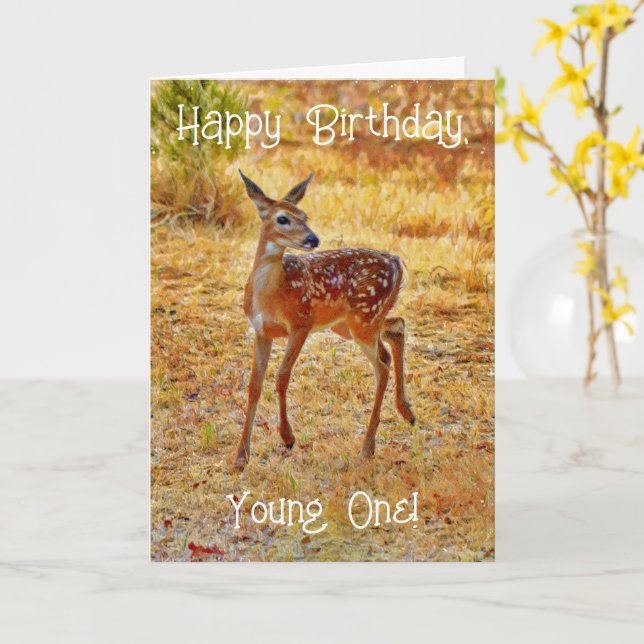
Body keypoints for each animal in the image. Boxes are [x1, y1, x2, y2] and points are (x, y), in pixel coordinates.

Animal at [234, 170, 415, 468]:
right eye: (283, 218)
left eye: (305, 215)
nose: (313, 239)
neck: (273, 294)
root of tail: (398, 262)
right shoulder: (261, 331)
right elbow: (254, 385)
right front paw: (241, 456)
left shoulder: (301, 323)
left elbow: (282, 376)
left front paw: (287, 437)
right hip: (352, 322)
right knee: (395, 329)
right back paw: (407, 413)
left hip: (363, 317)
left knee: (382, 366)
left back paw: (367, 447)